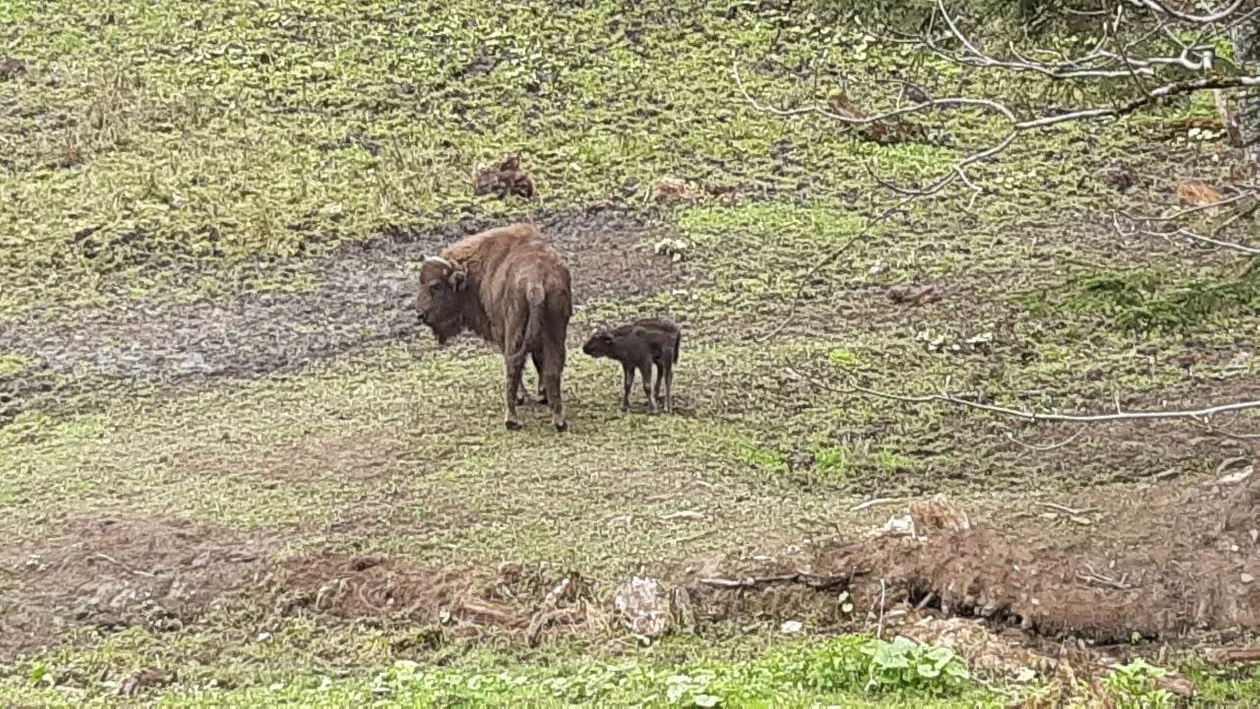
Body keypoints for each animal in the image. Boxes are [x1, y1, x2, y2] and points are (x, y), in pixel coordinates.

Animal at [413, 221, 572, 433]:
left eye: (436, 286)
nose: (420, 314)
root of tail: (536, 284)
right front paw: (542, 395)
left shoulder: (500, 332)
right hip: (556, 332)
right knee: (553, 367)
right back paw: (559, 420)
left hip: (514, 333)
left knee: (513, 365)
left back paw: (511, 419)